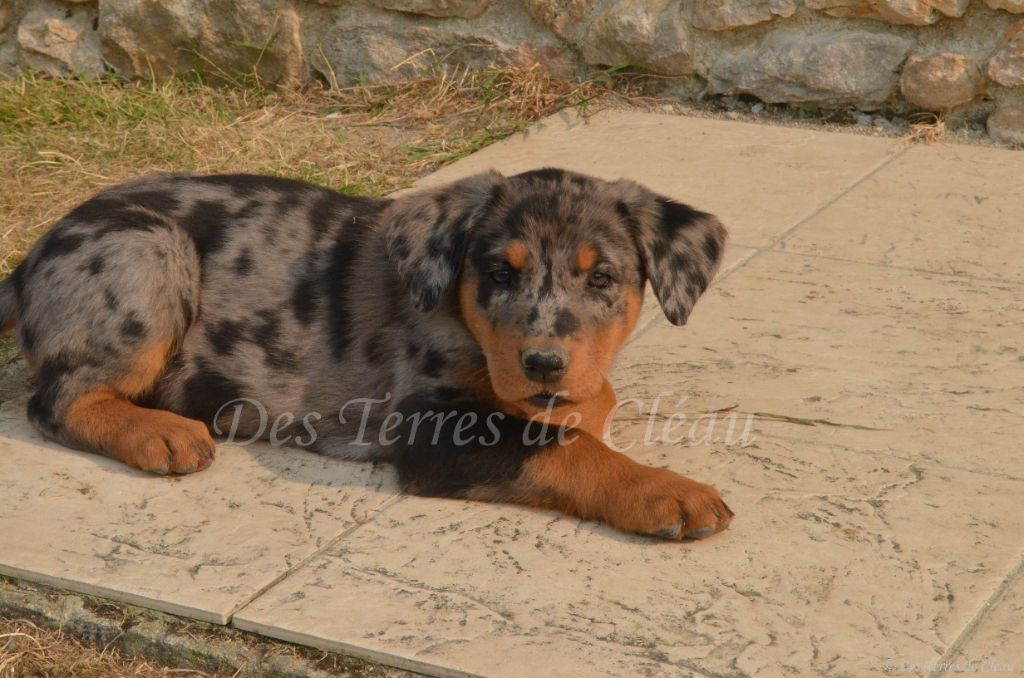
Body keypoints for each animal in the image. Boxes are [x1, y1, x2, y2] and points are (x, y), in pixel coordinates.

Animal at [0, 168, 733, 540]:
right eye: (498, 273)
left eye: (602, 278)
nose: (543, 363)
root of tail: (30, 258)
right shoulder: (435, 430)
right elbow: (565, 447)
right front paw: (668, 493)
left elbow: (587, 407)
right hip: (149, 249)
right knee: (56, 399)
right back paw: (161, 433)